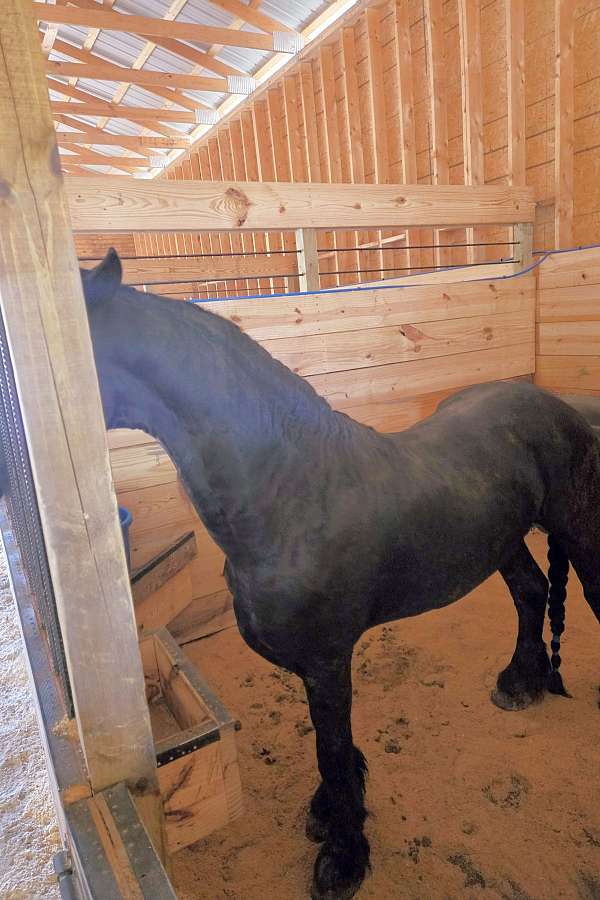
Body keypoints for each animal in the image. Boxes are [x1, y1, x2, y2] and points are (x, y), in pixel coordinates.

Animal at [81, 251, 600, 900]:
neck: (292, 493)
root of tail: (558, 406)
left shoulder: (328, 657)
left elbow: (330, 747)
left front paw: (344, 857)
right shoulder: (318, 664)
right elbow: (333, 745)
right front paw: (332, 811)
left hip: (578, 528)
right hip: (502, 542)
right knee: (532, 594)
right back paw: (519, 682)